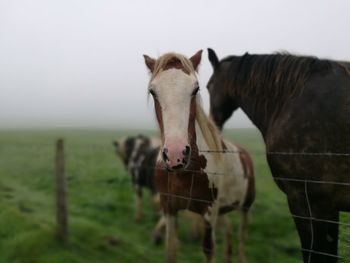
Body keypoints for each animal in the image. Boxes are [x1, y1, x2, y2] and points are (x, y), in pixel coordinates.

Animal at [142, 50, 254, 262]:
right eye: (153, 91)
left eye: (195, 90)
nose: (176, 155)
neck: (186, 173)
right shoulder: (169, 208)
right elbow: (170, 249)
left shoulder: (209, 212)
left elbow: (209, 249)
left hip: (245, 207)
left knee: (242, 238)